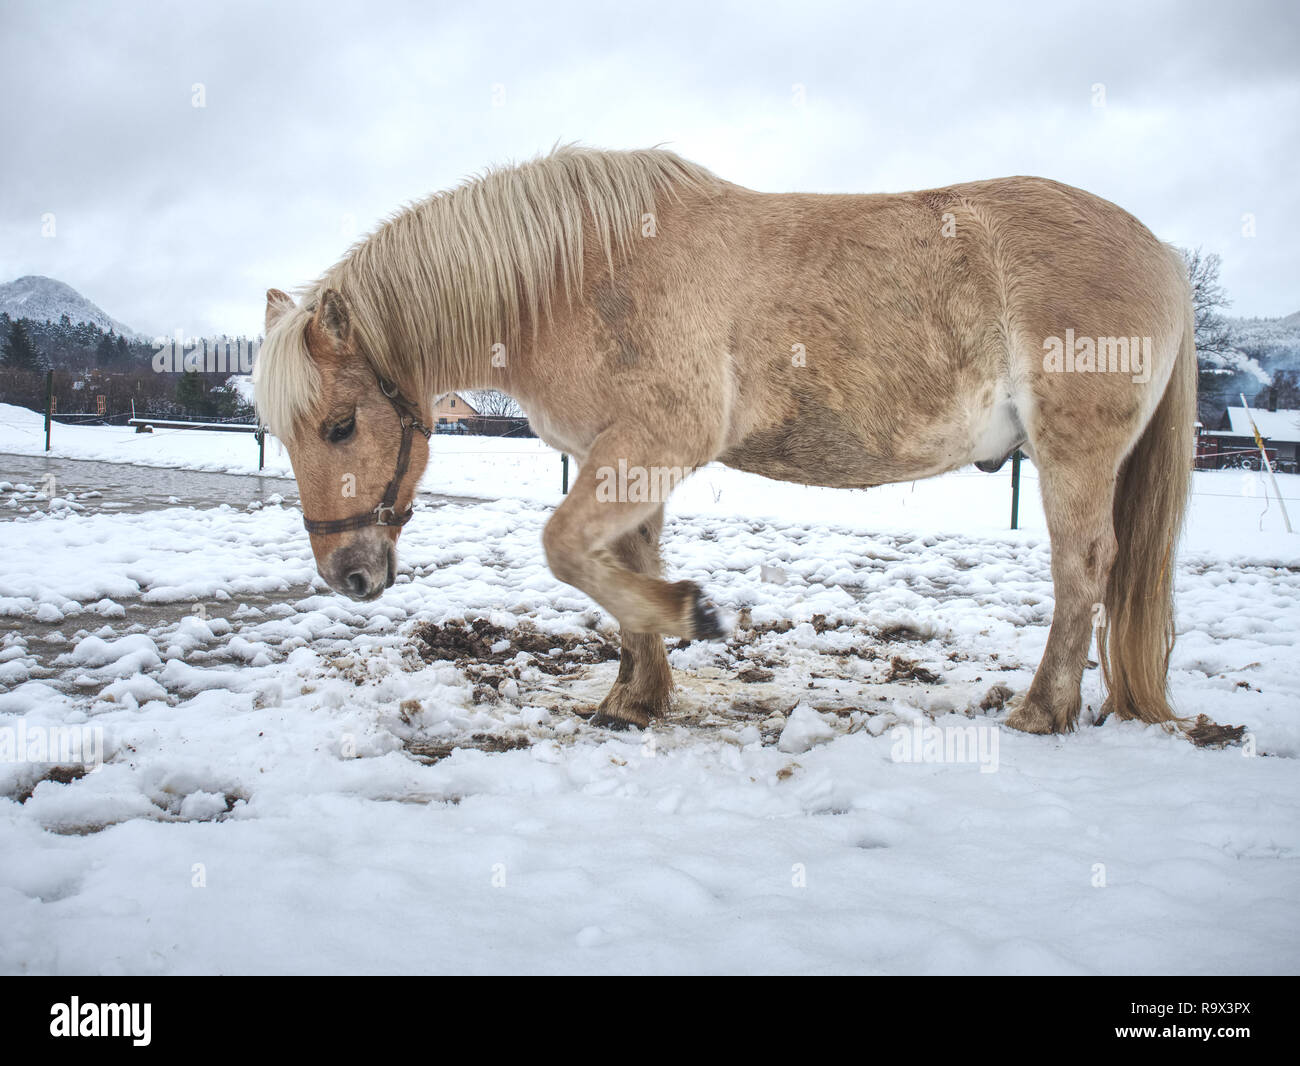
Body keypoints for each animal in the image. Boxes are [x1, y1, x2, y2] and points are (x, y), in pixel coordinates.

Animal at [253, 145, 1195, 735]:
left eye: (340, 425)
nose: (347, 576)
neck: (577, 278)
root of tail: (1163, 251)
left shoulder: (654, 441)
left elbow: (566, 549)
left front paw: (689, 616)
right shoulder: (621, 457)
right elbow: (618, 562)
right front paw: (636, 696)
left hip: (1073, 455)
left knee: (1082, 569)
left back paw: (1042, 709)